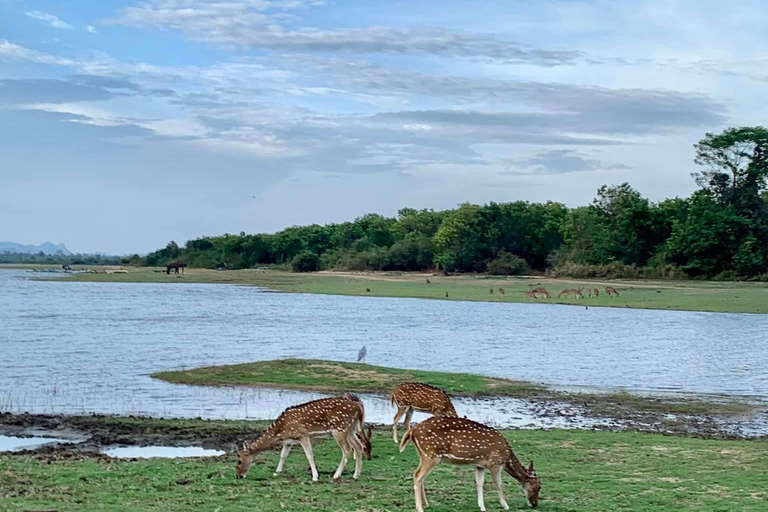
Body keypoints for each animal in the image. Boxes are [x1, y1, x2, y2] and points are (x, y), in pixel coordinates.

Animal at [237, 394, 376, 482]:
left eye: (239, 461)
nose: (238, 475)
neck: (280, 432)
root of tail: (359, 407)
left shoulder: (303, 435)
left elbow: (309, 455)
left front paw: (315, 477)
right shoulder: (289, 441)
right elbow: (283, 455)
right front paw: (277, 472)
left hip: (340, 428)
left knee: (347, 449)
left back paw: (336, 475)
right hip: (351, 429)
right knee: (358, 447)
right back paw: (356, 475)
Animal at [400, 416, 544, 512]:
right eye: (538, 487)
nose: (535, 504)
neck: (507, 457)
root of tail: (412, 431)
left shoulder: (479, 465)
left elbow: (479, 483)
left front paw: (482, 507)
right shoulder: (494, 463)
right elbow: (498, 483)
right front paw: (505, 505)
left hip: (424, 454)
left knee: (421, 476)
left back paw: (426, 504)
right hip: (431, 454)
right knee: (417, 475)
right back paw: (419, 508)